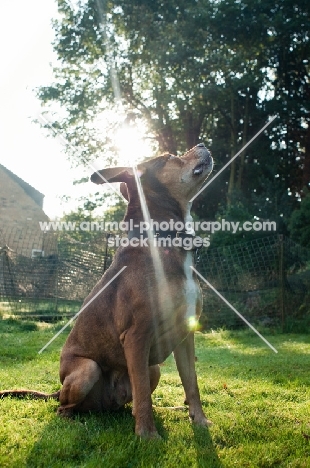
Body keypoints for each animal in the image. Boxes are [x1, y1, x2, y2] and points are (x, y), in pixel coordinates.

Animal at [0, 144, 212, 438]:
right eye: (170, 158)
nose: (202, 145)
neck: (165, 240)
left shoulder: (185, 334)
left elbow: (191, 384)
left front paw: (200, 421)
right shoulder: (136, 335)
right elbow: (143, 394)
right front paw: (147, 436)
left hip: (153, 368)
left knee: (134, 399)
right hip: (87, 370)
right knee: (65, 408)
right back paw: (73, 422)